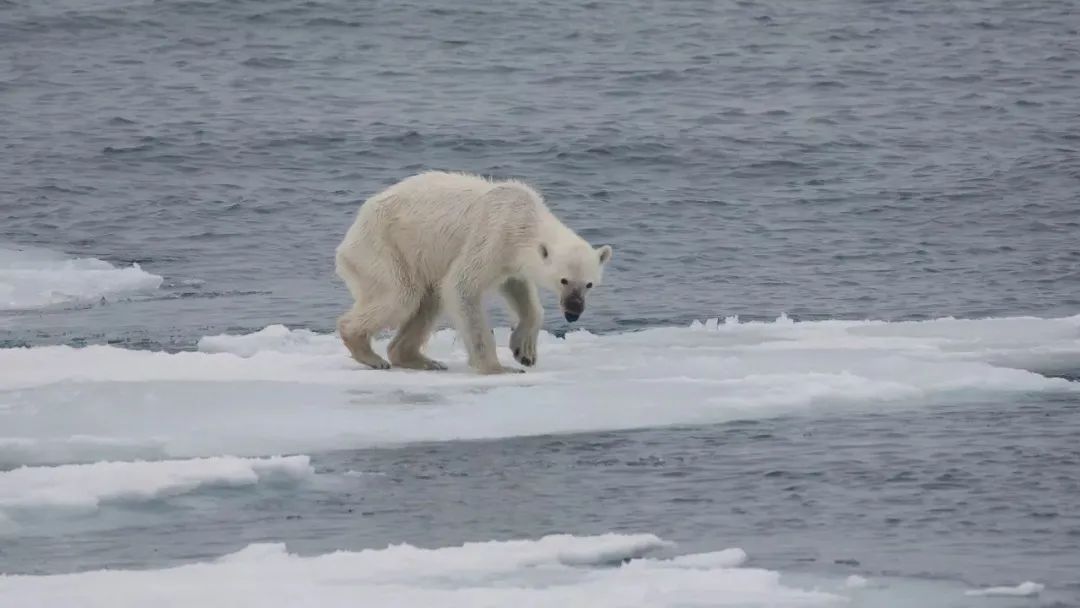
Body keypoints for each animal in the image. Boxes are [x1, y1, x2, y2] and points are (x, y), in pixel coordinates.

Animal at [332, 168, 613, 373]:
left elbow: (519, 290)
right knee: (401, 295)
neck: (524, 219)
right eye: (563, 280)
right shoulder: (493, 234)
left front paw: (524, 352)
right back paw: (368, 352)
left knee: (429, 300)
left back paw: (421, 360)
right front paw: (498, 368)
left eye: (589, 284)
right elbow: (462, 286)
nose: (574, 312)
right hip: (384, 248)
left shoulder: (510, 259)